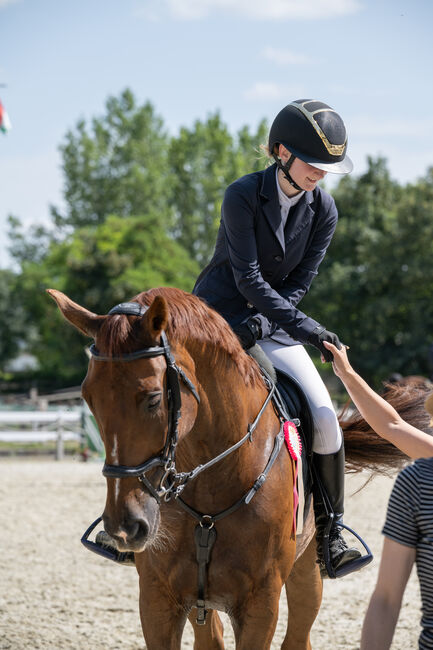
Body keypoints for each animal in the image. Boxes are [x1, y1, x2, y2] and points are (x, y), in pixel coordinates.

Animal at [47, 286, 426, 648]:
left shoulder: (261, 604)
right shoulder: (157, 599)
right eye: (88, 398)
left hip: (306, 572)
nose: (125, 527)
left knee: (298, 636)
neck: (211, 481)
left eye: (154, 399)